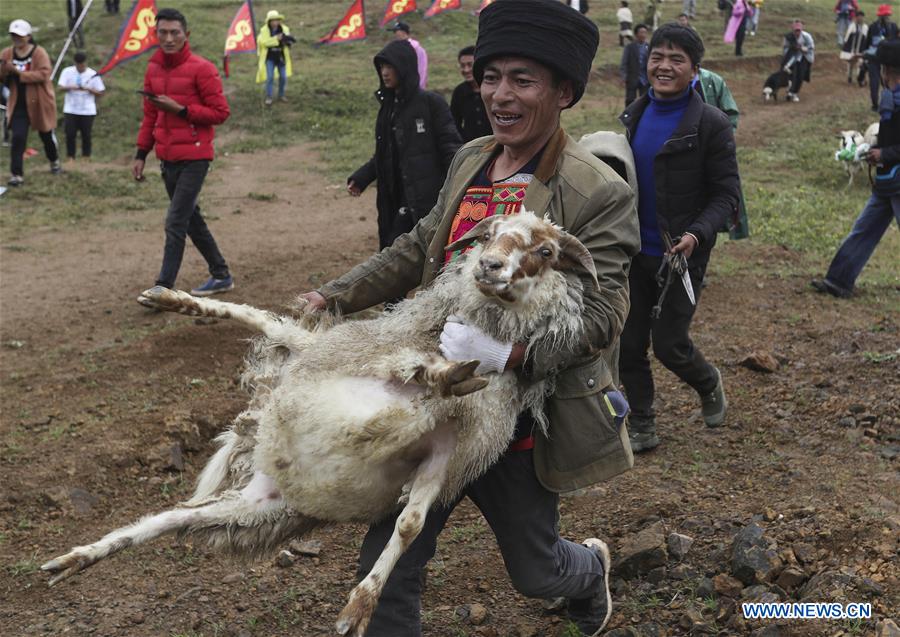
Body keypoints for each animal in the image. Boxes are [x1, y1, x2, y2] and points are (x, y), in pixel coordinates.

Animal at [45, 210, 600, 636]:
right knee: (257, 317)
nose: (488, 265)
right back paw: (169, 298)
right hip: (312, 354)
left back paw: (79, 558)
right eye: (490, 234)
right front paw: (444, 373)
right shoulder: (376, 368)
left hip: (250, 508)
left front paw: (360, 607)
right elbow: (416, 379)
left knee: (165, 520)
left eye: (546, 250)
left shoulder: (445, 454)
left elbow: (409, 523)